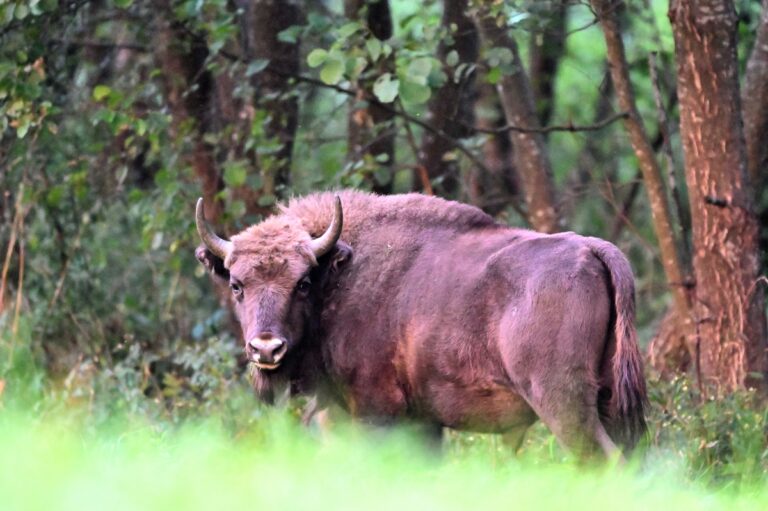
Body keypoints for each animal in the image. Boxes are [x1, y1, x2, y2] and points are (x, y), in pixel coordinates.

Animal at [195, 190, 647, 460]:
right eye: (236, 284)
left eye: (302, 283)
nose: (267, 348)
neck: (338, 273)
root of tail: (591, 248)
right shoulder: (420, 421)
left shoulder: (376, 413)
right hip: (606, 400)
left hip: (562, 402)